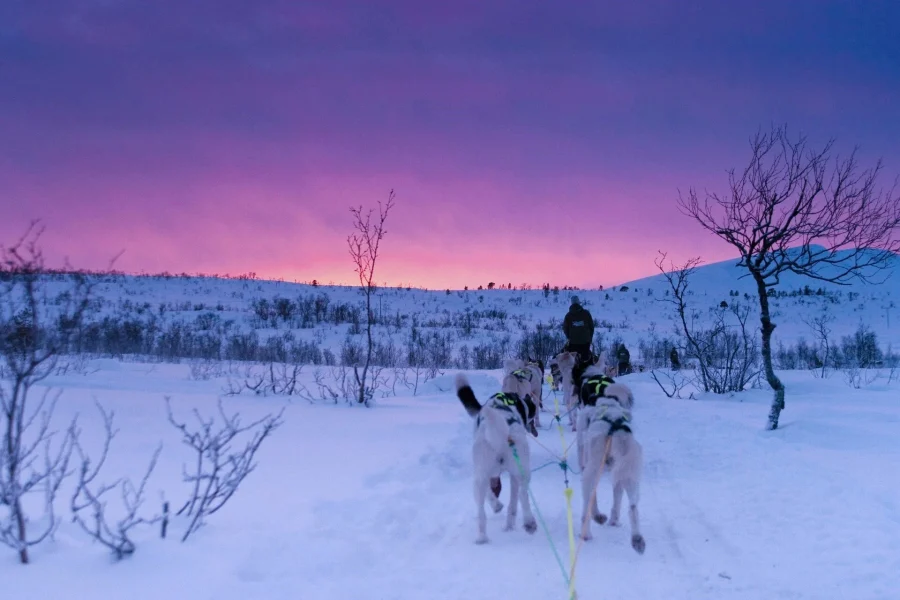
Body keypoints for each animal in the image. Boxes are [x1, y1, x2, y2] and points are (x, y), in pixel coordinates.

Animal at [458, 370, 536, 544]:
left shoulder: (490, 474)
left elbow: (492, 495)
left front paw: (497, 506)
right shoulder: (509, 475)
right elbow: (512, 504)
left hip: (480, 476)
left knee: (481, 511)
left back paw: (482, 537)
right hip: (520, 470)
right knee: (523, 494)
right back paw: (528, 522)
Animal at [576, 368, 648, 556]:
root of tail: (615, 430)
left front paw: (599, 517)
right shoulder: (619, 475)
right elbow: (617, 499)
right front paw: (613, 520)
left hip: (591, 470)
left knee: (587, 503)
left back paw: (587, 531)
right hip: (630, 476)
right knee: (632, 507)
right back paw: (636, 539)